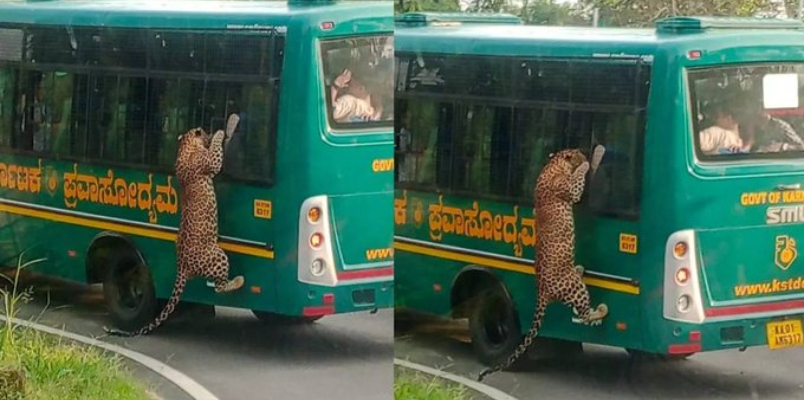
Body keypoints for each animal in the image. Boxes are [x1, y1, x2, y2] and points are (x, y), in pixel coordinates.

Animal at [107, 123, 245, 336]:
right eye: (205, 132)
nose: (209, 132)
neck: (185, 146)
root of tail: (181, 266)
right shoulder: (210, 162)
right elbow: (215, 155)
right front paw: (220, 133)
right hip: (218, 255)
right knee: (219, 287)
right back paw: (238, 280)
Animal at [478, 148, 608, 382]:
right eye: (578, 153)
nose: (584, 154)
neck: (553, 165)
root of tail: (542, 291)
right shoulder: (571, 191)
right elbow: (577, 182)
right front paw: (586, 164)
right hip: (576, 288)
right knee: (584, 315)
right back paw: (600, 309)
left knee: (581, 314)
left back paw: (580, 271)